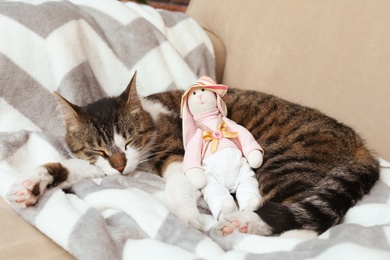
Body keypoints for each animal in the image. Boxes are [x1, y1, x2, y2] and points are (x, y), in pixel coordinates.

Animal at [5, 72, 378, 237]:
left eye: (128, 141)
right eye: (97, 149)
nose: (122, 167)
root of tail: (362, 145)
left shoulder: (177, 153)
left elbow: (180, 188)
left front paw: (186, 218)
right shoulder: (102, 167)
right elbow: (70, 167)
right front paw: (30, 185)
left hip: (280, 162)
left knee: (302, 223)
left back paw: (245, 223)